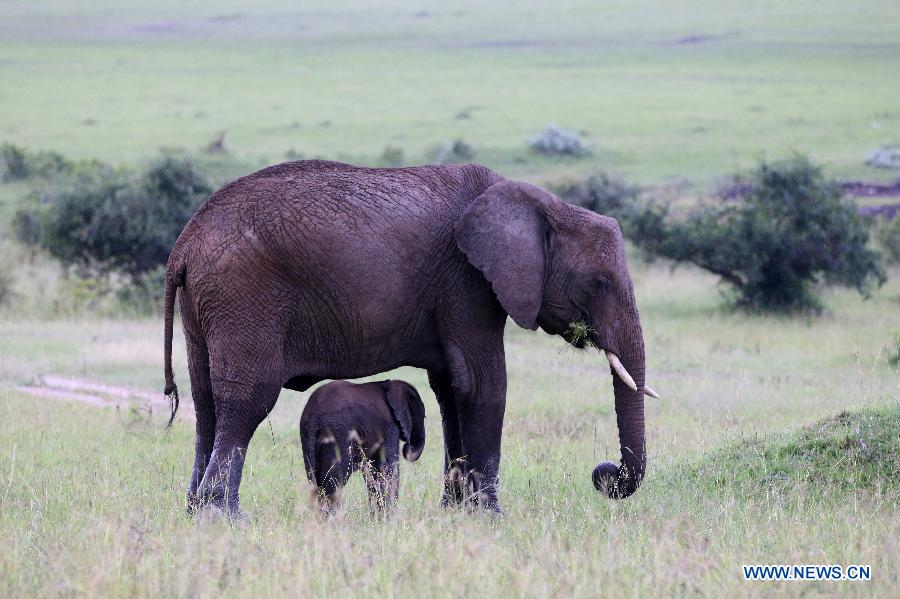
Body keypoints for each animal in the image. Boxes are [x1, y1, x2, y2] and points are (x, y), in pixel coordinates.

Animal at [298, 380, 426, 516]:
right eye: (423, 417)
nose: (408, 447)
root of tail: (314, 417)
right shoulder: (390, 426)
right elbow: (387, 468)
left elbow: (373, 471)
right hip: (338, 434)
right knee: (333, 484)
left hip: (307, 436)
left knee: (315, 481)